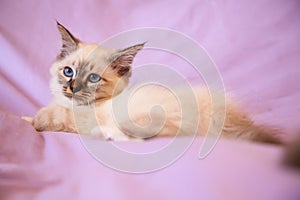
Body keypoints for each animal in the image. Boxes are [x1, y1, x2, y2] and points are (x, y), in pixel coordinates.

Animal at [22, 22, 282, 144]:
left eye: (93, 78)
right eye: (68, 72)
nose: (72, 88)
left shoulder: (83, 117)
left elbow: (51, 116)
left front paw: (37, 119)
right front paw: (26, 119)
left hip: (152, 116)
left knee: (151, 135)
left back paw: (103, 135)